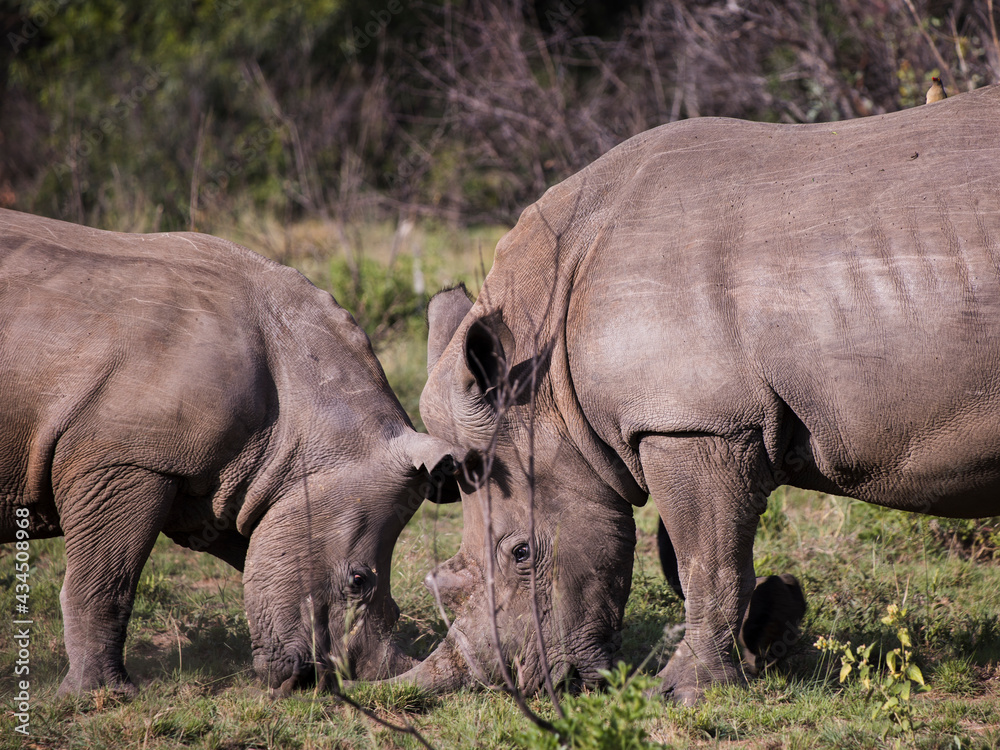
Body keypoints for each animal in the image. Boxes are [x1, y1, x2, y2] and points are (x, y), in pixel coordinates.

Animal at [0, 208, 461, 696]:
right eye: (358, 580)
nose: (317, 682)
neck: (312, 418)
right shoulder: (125, 460)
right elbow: (106, 580)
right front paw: (101, 696)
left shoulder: (231, 483)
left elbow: (254, 560)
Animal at [387, 84, 1000, 704]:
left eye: (521, 553)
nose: (511, 684)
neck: (548, 370)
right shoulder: (681, 418)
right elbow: (685, 556)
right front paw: (768, 632)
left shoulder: (697, 422)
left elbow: (707, 563)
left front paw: (683, 691)